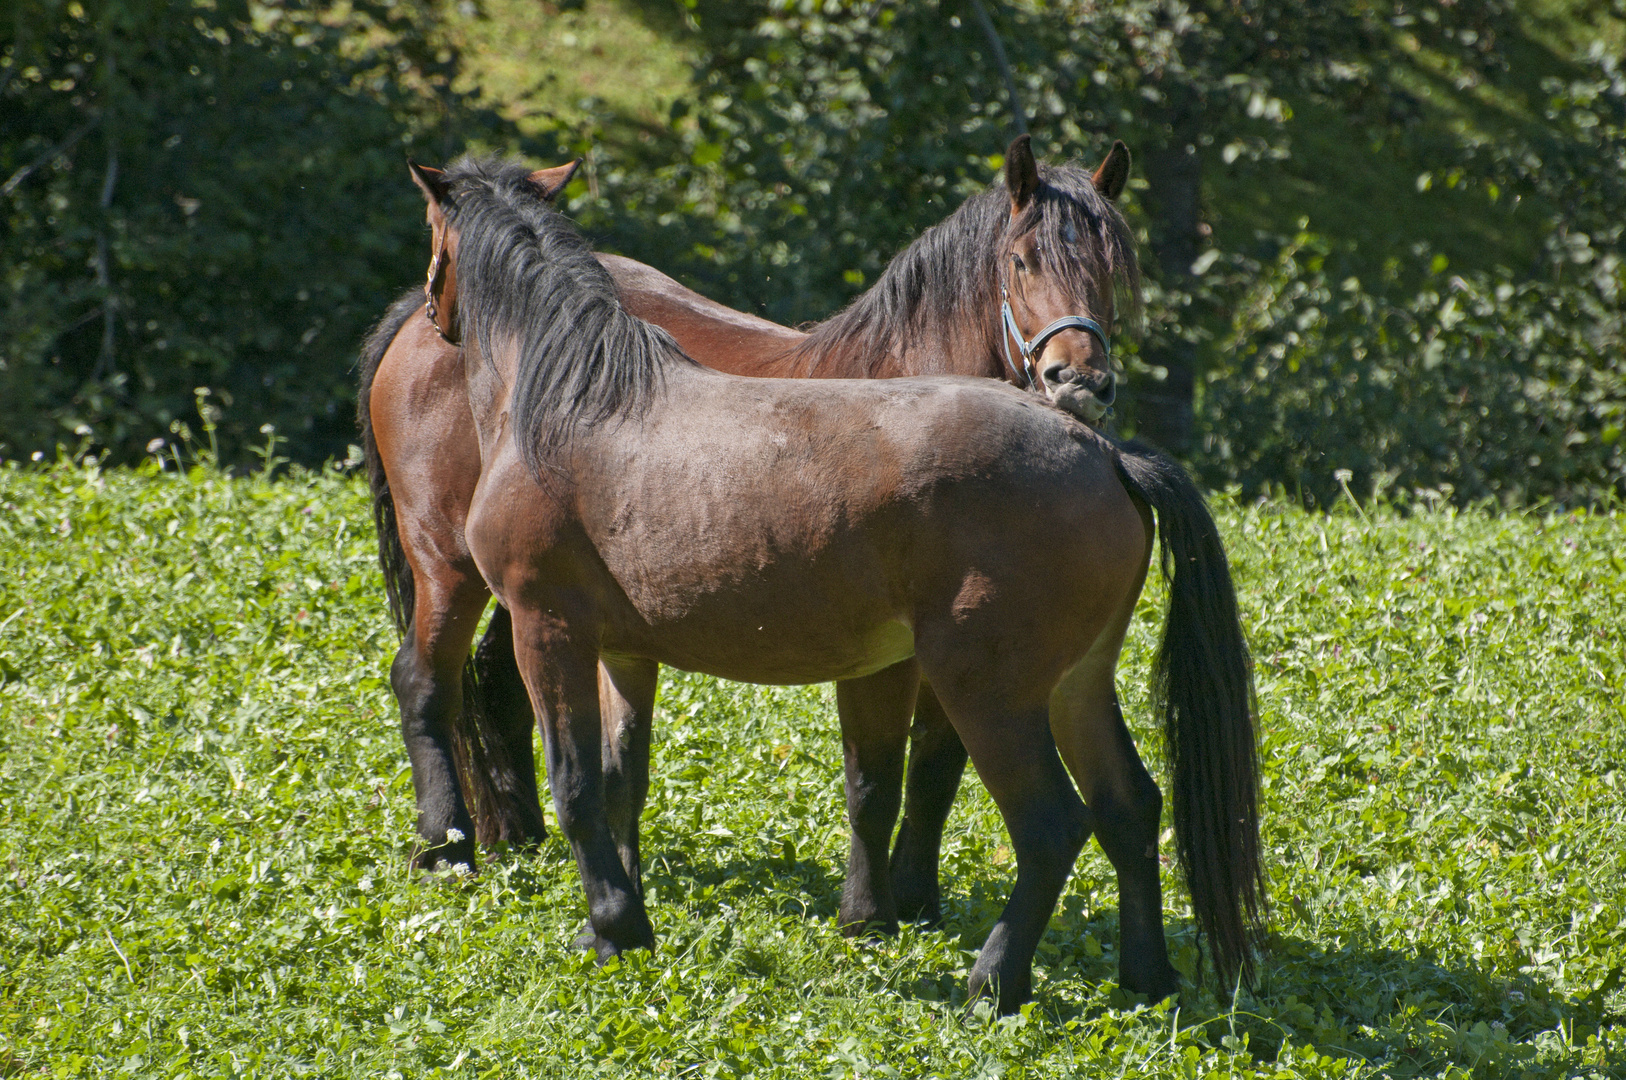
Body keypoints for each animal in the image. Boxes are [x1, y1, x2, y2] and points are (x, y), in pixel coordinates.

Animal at [403, 153, 1255, 1014]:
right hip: (1076, 686)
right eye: (1023, 262)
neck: (569, 404)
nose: (432, 312)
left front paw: (614, 930)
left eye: (433, 237)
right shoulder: (624, 652)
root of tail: (1105, 455)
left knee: (1052, 827)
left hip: (990, 695)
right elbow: (619, 783)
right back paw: (1146, 977)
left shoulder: (548, 630)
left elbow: (577, 786)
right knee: (1129, 806)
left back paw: (993, 981)